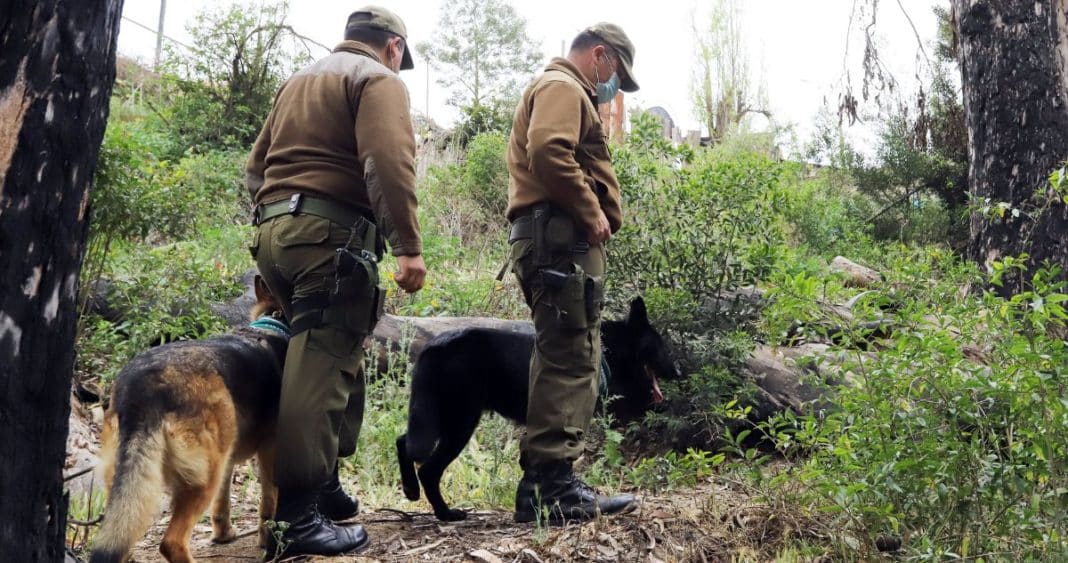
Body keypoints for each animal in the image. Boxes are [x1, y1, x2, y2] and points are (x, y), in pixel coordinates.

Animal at [91, 277, 288, 563]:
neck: (274, 322)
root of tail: (143, 387)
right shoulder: (269, 451)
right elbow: (268, 504)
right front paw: (267, 542)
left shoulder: (228, 460)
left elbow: (222, 503)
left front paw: (224, 534)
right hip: (203, 478)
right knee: (172, 543)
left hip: (130, 485)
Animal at [397, 296, 679, 521]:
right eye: (661, 346)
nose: (679, 371)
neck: (609, 350)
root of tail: (435, 346)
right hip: (459, 422)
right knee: (428, 468)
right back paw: (445, 513)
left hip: (436, 417)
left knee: (403, 441)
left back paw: (413, 490)